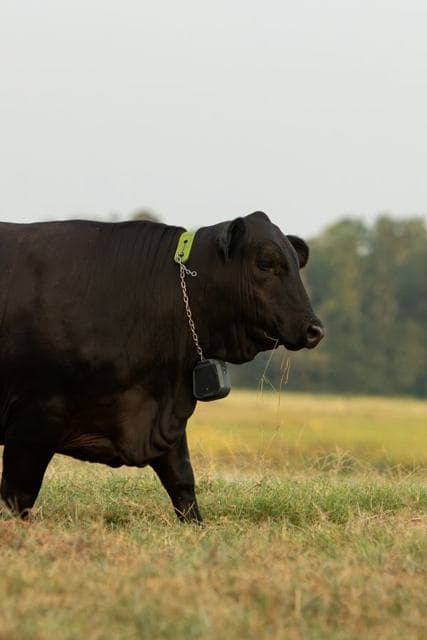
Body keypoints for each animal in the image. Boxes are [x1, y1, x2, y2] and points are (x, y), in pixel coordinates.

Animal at [0, 211, 324, 522]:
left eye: (296, 264)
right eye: (266, 262)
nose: (315, 329)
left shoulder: (166, 419)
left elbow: (183, 483)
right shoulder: (35, 419)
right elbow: (18, 497)